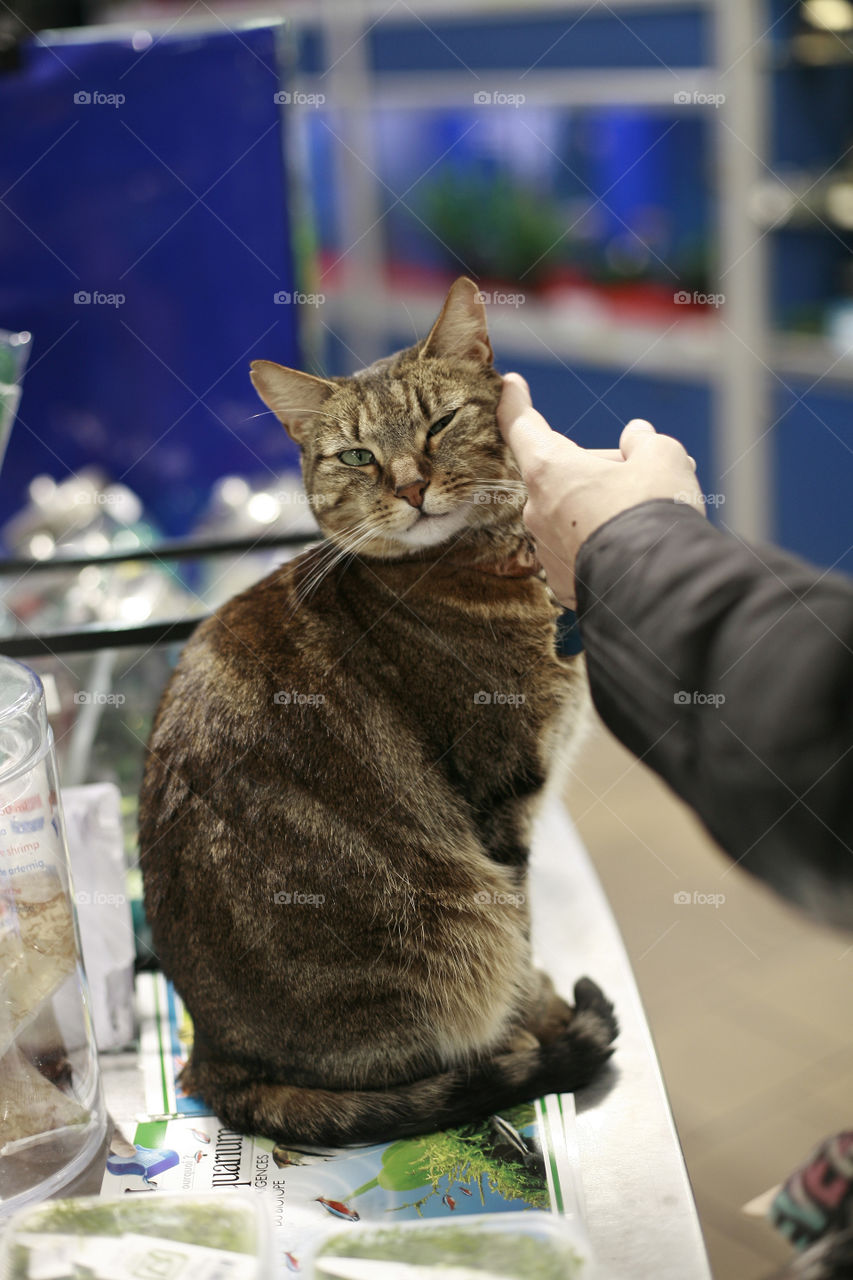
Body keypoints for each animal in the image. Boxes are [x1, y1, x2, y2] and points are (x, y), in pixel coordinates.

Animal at [139, 276, 618, 1146]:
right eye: (357, 455)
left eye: (441, 423)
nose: (409, 486)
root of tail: (212, 1057)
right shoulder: (500, 803)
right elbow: (522, 935)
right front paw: (544, 1015)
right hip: (449, 922)